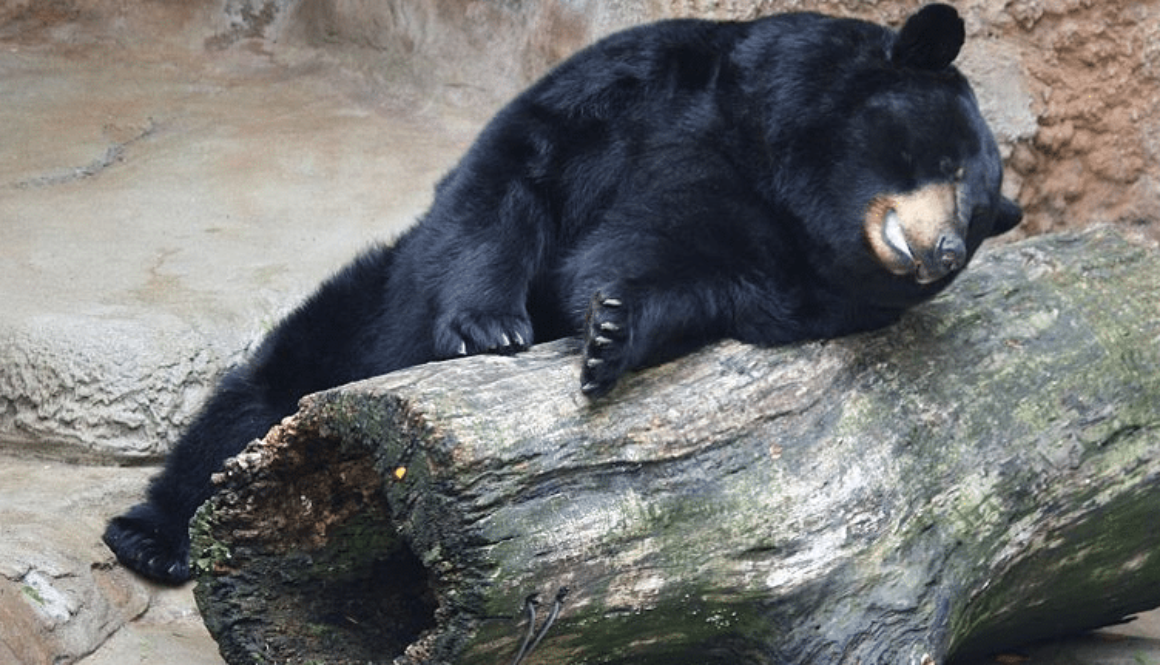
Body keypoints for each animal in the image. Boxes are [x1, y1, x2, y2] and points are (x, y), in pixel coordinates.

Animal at [104, 3, 1022, 584]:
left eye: (979, 217)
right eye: (943, 160)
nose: (941, 250)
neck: (788, 177)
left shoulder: (781, 266)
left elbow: (692, 279)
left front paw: (609, 330)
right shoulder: (663, 86)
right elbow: (521, 165)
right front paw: (490, 326)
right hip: (361, 317)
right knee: (256, 401)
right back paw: (153, 536)